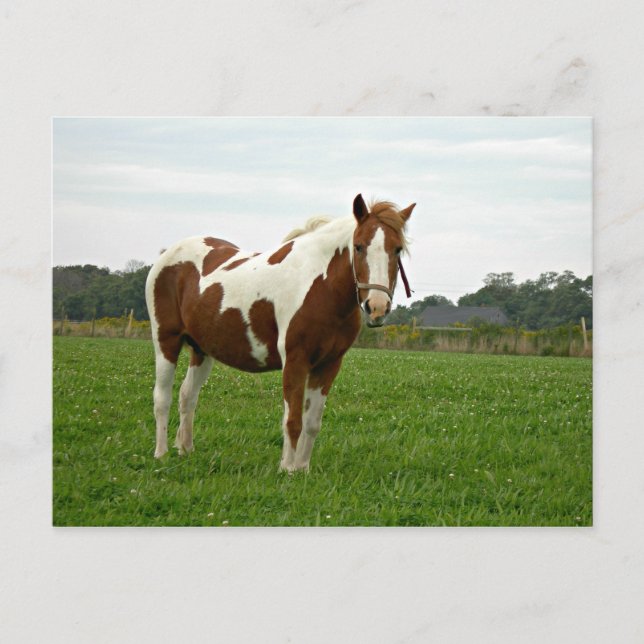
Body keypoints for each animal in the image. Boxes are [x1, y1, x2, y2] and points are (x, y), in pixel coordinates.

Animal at [145, 194, 415, 472]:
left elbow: (312, 422)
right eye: (359, 246)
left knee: (187, 396)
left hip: (202, 350)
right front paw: (287, 469)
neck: (319, 286)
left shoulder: (329, 364)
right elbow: (292, 420)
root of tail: (167, 256)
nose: (377, 307)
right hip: (166, 343)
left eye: (397, 249)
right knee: (162, 398)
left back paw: (185, 449)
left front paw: (302, 468)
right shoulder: (295, 361)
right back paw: (161, 453)